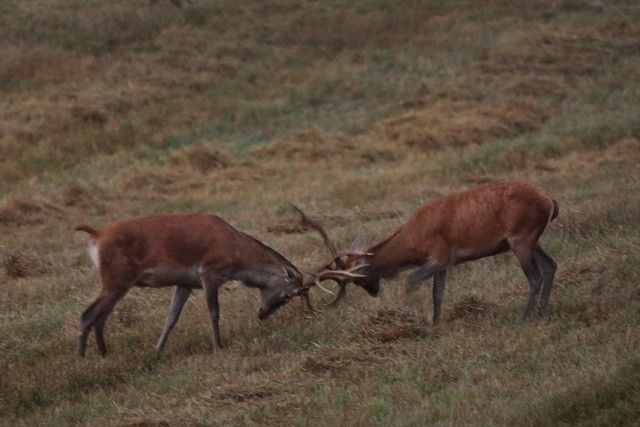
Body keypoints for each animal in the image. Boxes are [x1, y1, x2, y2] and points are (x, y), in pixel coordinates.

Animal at [74, 213, 310, 358]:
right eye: (287, 295)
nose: (262, 314)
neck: (236, 251)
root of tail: (97, 235)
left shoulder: (185, 283)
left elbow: (171, 318)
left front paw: (157, 351)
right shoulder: (209, 272)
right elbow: (214, 312)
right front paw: (218, 346)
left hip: (118, 284)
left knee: (100, 317)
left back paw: (104, 354)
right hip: (116, 280)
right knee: (87, 314)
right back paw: (81, 360)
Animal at [298, 181, 556, 324]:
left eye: (358, 280)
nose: (374, 291)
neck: (413, 243)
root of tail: (551, 201)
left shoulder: (440, 255)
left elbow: (411, 281)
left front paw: (414, 317)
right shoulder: (445, 263)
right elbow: (437, 294)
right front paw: (435, 323)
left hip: (521, 237)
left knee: (535, 276)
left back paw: (526, 317)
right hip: (531, 240)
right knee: (551, 266)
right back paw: (543, 311)